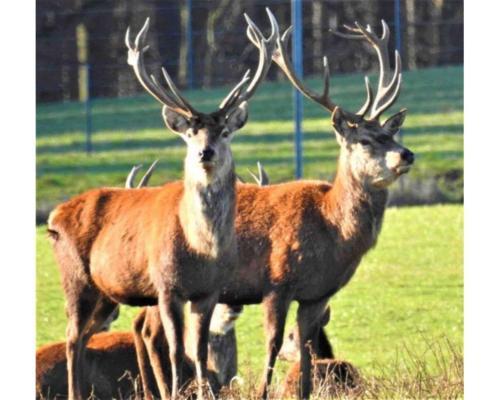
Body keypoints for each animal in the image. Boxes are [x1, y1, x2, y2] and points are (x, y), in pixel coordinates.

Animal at [47, 12, 278, 400]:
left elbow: (198, 350)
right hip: (76, 278)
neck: (202, 248)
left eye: (224, 132)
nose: (205, 153)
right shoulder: (167, 287)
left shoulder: (209, 291)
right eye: (190, 134)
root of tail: (53, 217)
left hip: (107, 293)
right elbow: (174, 348)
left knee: (85, 335)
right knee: (71, 336)